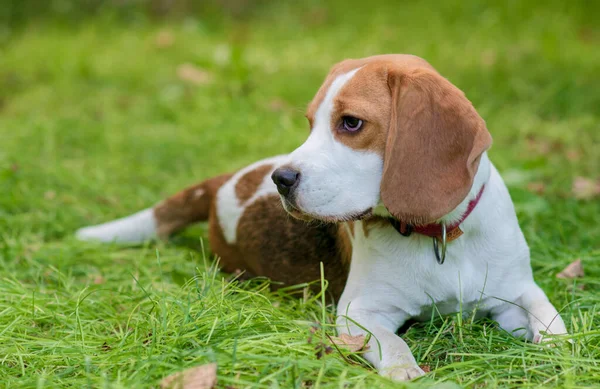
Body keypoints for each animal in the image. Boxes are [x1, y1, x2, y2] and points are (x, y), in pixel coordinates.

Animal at [76, 53, 568, 378]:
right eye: (311, 123)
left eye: (350, 123)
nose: (281, 179)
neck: (439, 234)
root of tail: (225, 182)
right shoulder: (359, 312)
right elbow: (393, 344)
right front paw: (406, 372)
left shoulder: (517, 290)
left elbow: (553, 322)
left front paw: (562, 352)